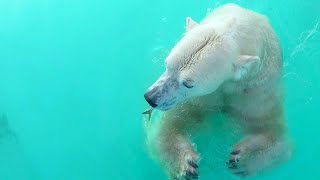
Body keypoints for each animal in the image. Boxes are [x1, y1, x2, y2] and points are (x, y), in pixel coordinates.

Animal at [144, 3, 292, 180]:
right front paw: (186, 166)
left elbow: (276, 135)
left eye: (188, 84)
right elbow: (167, 128)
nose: (151, 98)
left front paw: (240, 160)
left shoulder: (255, 92)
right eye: (167, 65)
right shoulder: (201, 99)